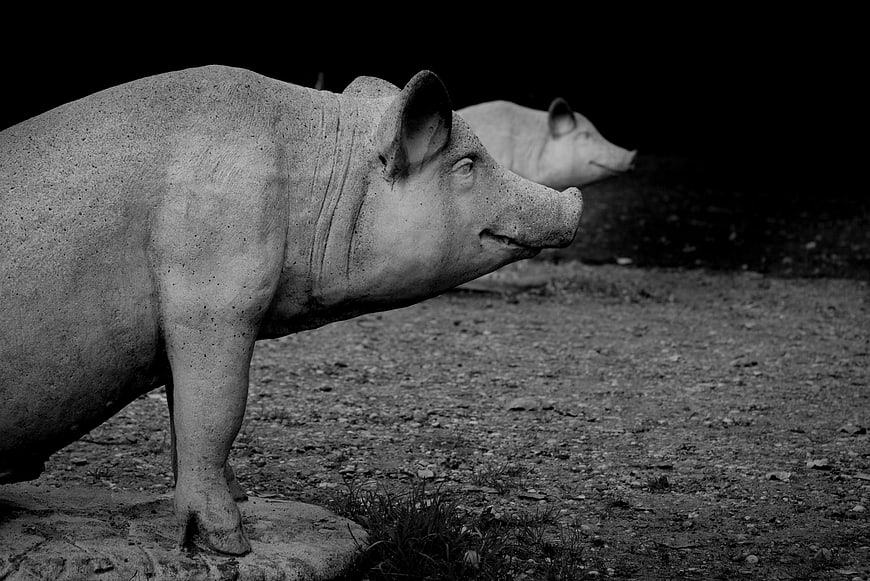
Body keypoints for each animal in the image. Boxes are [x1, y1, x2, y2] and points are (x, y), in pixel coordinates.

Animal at [0, 65, 583, 555]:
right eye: (466, 164)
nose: (573, 200)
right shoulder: (213, 301)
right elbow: (215, 413)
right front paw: (229, 545)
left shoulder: (179, 324)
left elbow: (184, 417)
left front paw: (244, 502)